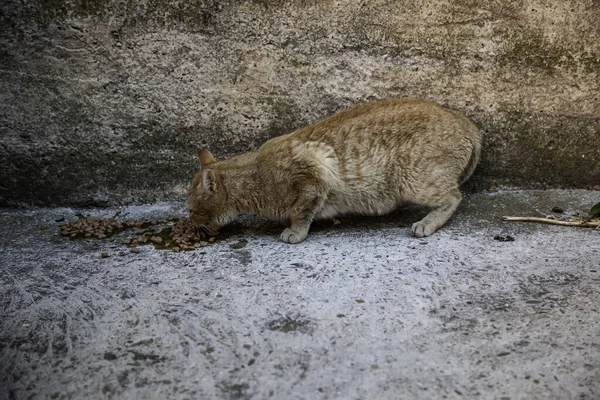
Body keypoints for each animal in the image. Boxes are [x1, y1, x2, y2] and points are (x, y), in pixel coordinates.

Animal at [186, 99, 482, 244]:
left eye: (190, 209)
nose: (189, 223)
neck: (255, 173)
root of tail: (467, 122)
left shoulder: (314, 173)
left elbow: (300, 211)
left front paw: (295, 231)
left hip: (415, 179)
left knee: (453, 197)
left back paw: (427, 222)